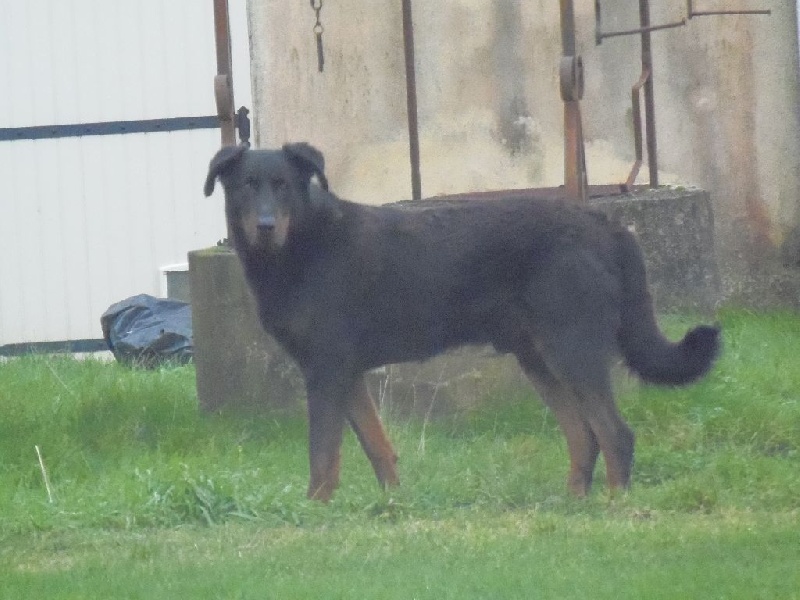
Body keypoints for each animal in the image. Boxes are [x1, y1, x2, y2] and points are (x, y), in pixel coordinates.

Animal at [205, 144, 720, 502]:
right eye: (247, 185)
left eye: (283, 185)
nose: (266, 226)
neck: (301, 245)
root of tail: (607, 225)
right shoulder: (345, 375)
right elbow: (376, 447)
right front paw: (392, 507)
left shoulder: (326, 372)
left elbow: (322, 456)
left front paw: (315, 511)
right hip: (539, 359)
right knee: (583, 435)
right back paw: (575, 503)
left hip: (572, 351)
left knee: (614, 434)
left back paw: (614, 506)